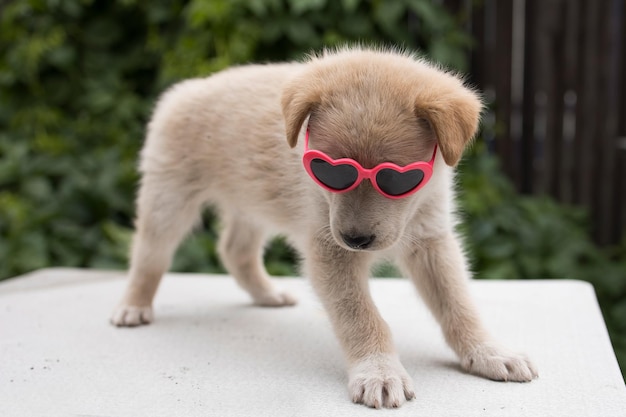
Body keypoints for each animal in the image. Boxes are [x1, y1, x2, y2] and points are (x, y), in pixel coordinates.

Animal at [109, 46, 532, 406]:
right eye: (329, 171)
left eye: (398, 180)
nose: (356, 239)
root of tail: (186, 88)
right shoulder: (330, 251)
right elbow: (361, 316)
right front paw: (379, 371)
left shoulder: (431, 242)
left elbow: (458, 304)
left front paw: (487, 351)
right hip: (168, 201)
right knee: (149, 256)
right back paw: (133, 306)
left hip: (252, 204)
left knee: (234, 250)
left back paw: (267, 294)